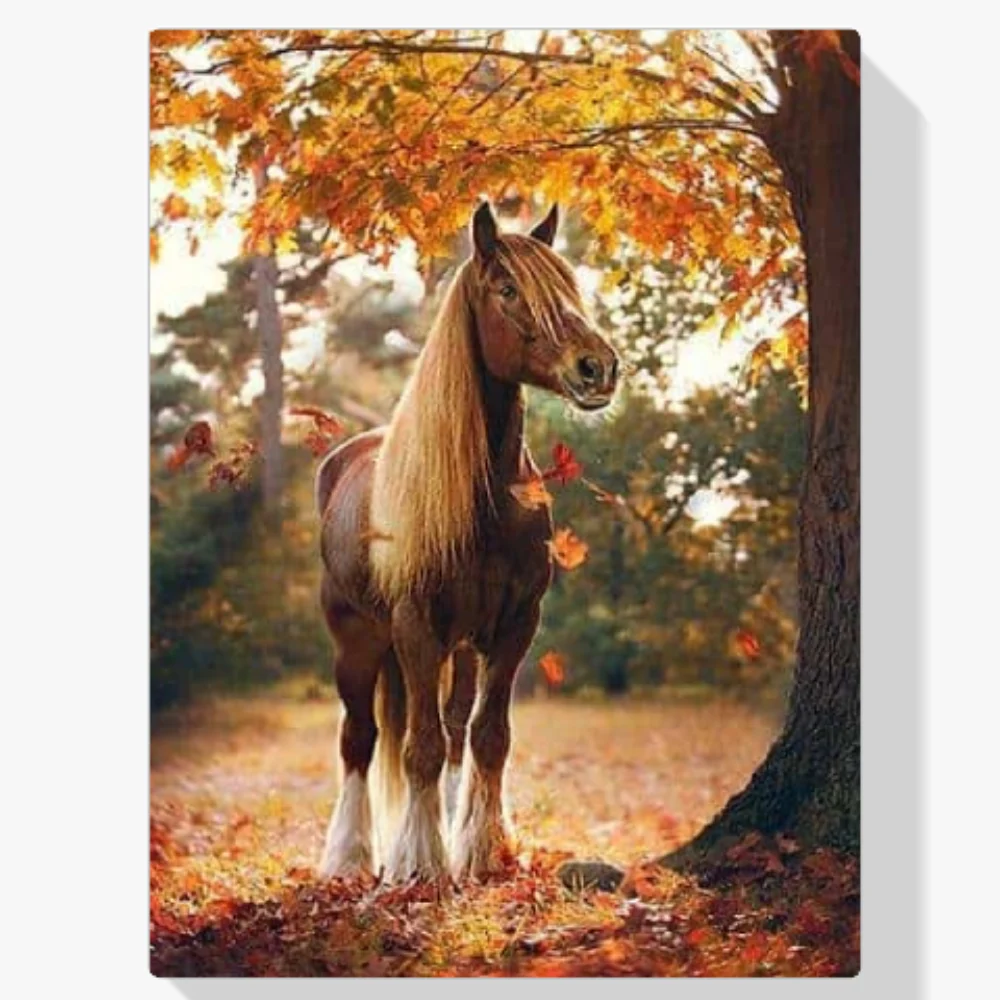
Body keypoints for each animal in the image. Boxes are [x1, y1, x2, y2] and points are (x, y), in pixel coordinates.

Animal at [315, 201, 619, 881]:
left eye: (568, 284)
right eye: (507, 289)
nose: (598, 367)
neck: (487, 503)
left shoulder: (513, 627)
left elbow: (487, 737)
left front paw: (480, 850)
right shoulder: (415, 626)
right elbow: (419, 746)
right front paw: (419, 864)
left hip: (456, 648)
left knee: (453, 730)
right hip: (358, 640)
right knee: (359, 740)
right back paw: (349, 857)